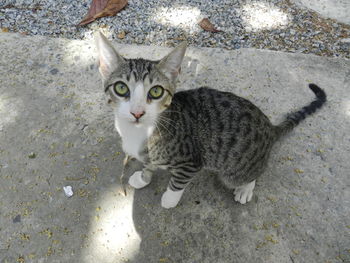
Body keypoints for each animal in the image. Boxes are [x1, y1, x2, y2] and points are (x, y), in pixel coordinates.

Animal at [94, 32, 326, 209]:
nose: (137, 112)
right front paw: (143, 177)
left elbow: (177, 183)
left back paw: (245, 188)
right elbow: (149, 164)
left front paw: (169, 199)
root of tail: (269, 127)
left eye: (156, 91)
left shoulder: (191, 162)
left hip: (235, 168)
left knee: (253, 173)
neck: (140, 132)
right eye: (121, 88)